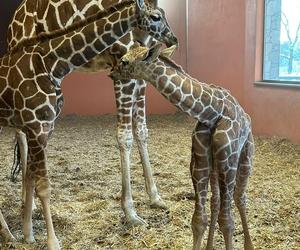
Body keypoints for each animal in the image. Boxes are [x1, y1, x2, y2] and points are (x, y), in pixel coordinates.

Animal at [7, 0, 178, 227]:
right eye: (157, 17)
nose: (174, 39)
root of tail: (12, 23)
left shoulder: (142, 64)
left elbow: (141, 131)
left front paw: (155, 197)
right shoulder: (121, 64)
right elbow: (124, 136)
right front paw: (130, 212)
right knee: (21, 133)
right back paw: (30, 204)